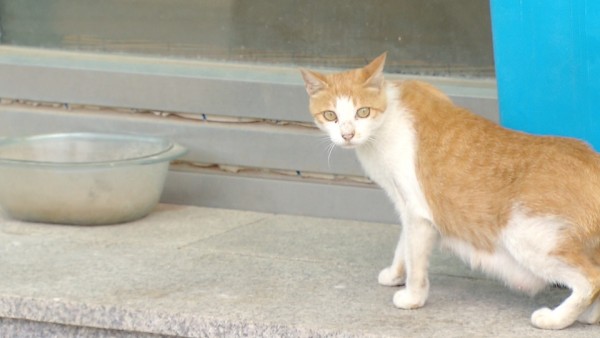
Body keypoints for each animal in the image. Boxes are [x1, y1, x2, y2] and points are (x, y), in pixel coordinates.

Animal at [302, 53, 600, 330]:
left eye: (362, 112)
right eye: (331, 115)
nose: (347, 135)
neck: (385, 121)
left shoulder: (418, 214)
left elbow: (415, 262)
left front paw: (412, 297)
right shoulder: (408, 207)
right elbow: (403, 246)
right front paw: (395, 274)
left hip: (525, 237)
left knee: (591, 280)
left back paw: (556, 319)